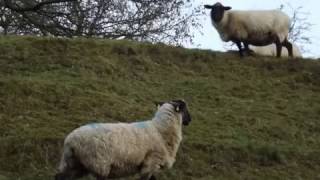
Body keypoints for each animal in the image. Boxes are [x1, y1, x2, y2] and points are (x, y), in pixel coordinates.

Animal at [55, 99, 191, 180]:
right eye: (185, 108)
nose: (190, 120)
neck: (160, 130)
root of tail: (70, 140)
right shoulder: (151, 163)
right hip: (99, 165)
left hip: (74, 163)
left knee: (60, 177)